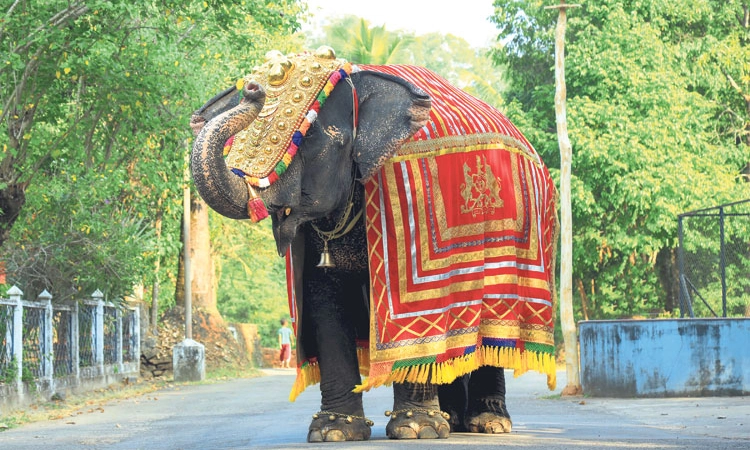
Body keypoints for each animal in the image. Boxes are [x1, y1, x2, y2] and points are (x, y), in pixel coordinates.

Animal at [190, 47, 557, 442]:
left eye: (309, 139)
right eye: (234, 144)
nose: (253, 89)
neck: (359, 80)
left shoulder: (412, 204)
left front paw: (416, 429)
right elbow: (323, 297)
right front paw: (333, 431)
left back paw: (486, 423)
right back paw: (453, 419)